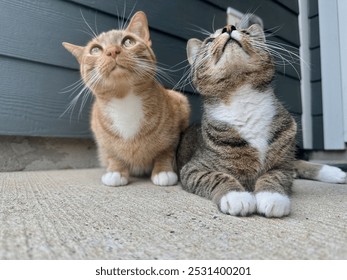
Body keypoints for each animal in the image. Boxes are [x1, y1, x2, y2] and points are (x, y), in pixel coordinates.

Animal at [64, 11, 192, 186]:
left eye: (128, 41)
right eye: (95, 50)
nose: (112, 50)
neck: (124, 100)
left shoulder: (178, 113)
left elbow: (166, 151)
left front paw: (163, 171)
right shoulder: (104, 141)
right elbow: (113, 154)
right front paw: (116, 172)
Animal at [178, 24, 346, 218]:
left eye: (245, 31)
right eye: (210, 40)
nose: (229, 27)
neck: (241, 96)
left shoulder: (282, 165)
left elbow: (274, 176)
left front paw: (272, 197)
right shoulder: (193, 168)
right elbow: (217, 176)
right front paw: (236, 196)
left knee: (296, 163)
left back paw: (334, 172)